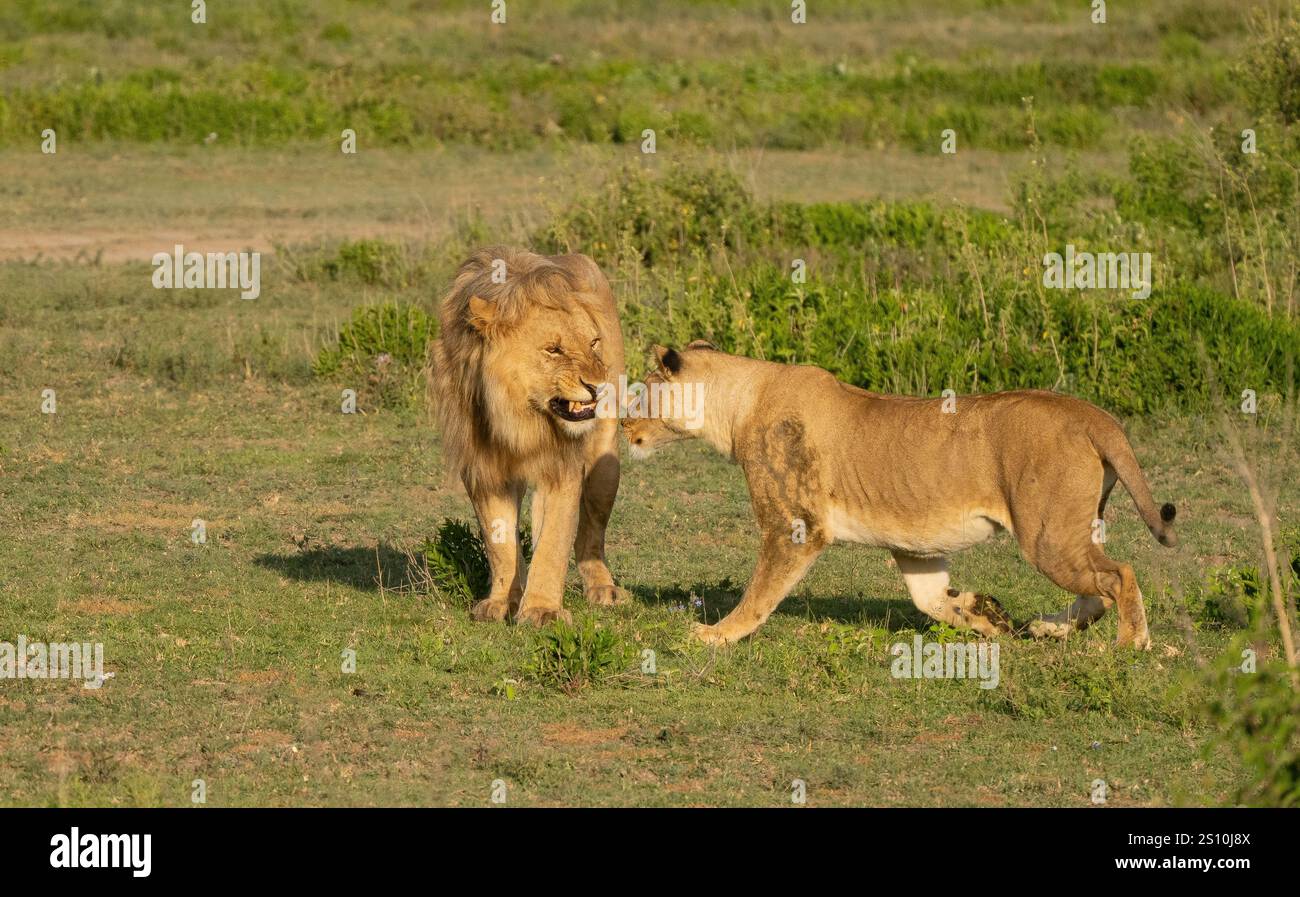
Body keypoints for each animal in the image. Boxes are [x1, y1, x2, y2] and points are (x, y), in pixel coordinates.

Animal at [428, 247, 626, 626]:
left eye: (593, 343)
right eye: (553, 350)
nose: (599, 385)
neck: (520, 417)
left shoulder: (562, 466)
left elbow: (554, 541)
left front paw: (542, 610)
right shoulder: (481, 467)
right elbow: (499, 539)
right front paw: (501, 602)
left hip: (605, 463)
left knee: (590, 534)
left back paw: (603, 588)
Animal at [622, 342, 1177, 649]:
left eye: (642, 391)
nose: (624, 422)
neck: (737, 404)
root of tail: (1093, 415)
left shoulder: (795, 528)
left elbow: (759, 594)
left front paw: (717, 635)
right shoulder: (916, 546)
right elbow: (931, 600)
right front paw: (985, 615)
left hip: (1047, 535)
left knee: (1120, 575)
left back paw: (1132, 644)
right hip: (1070, 531)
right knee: (1097, 586)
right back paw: (1049, 629)